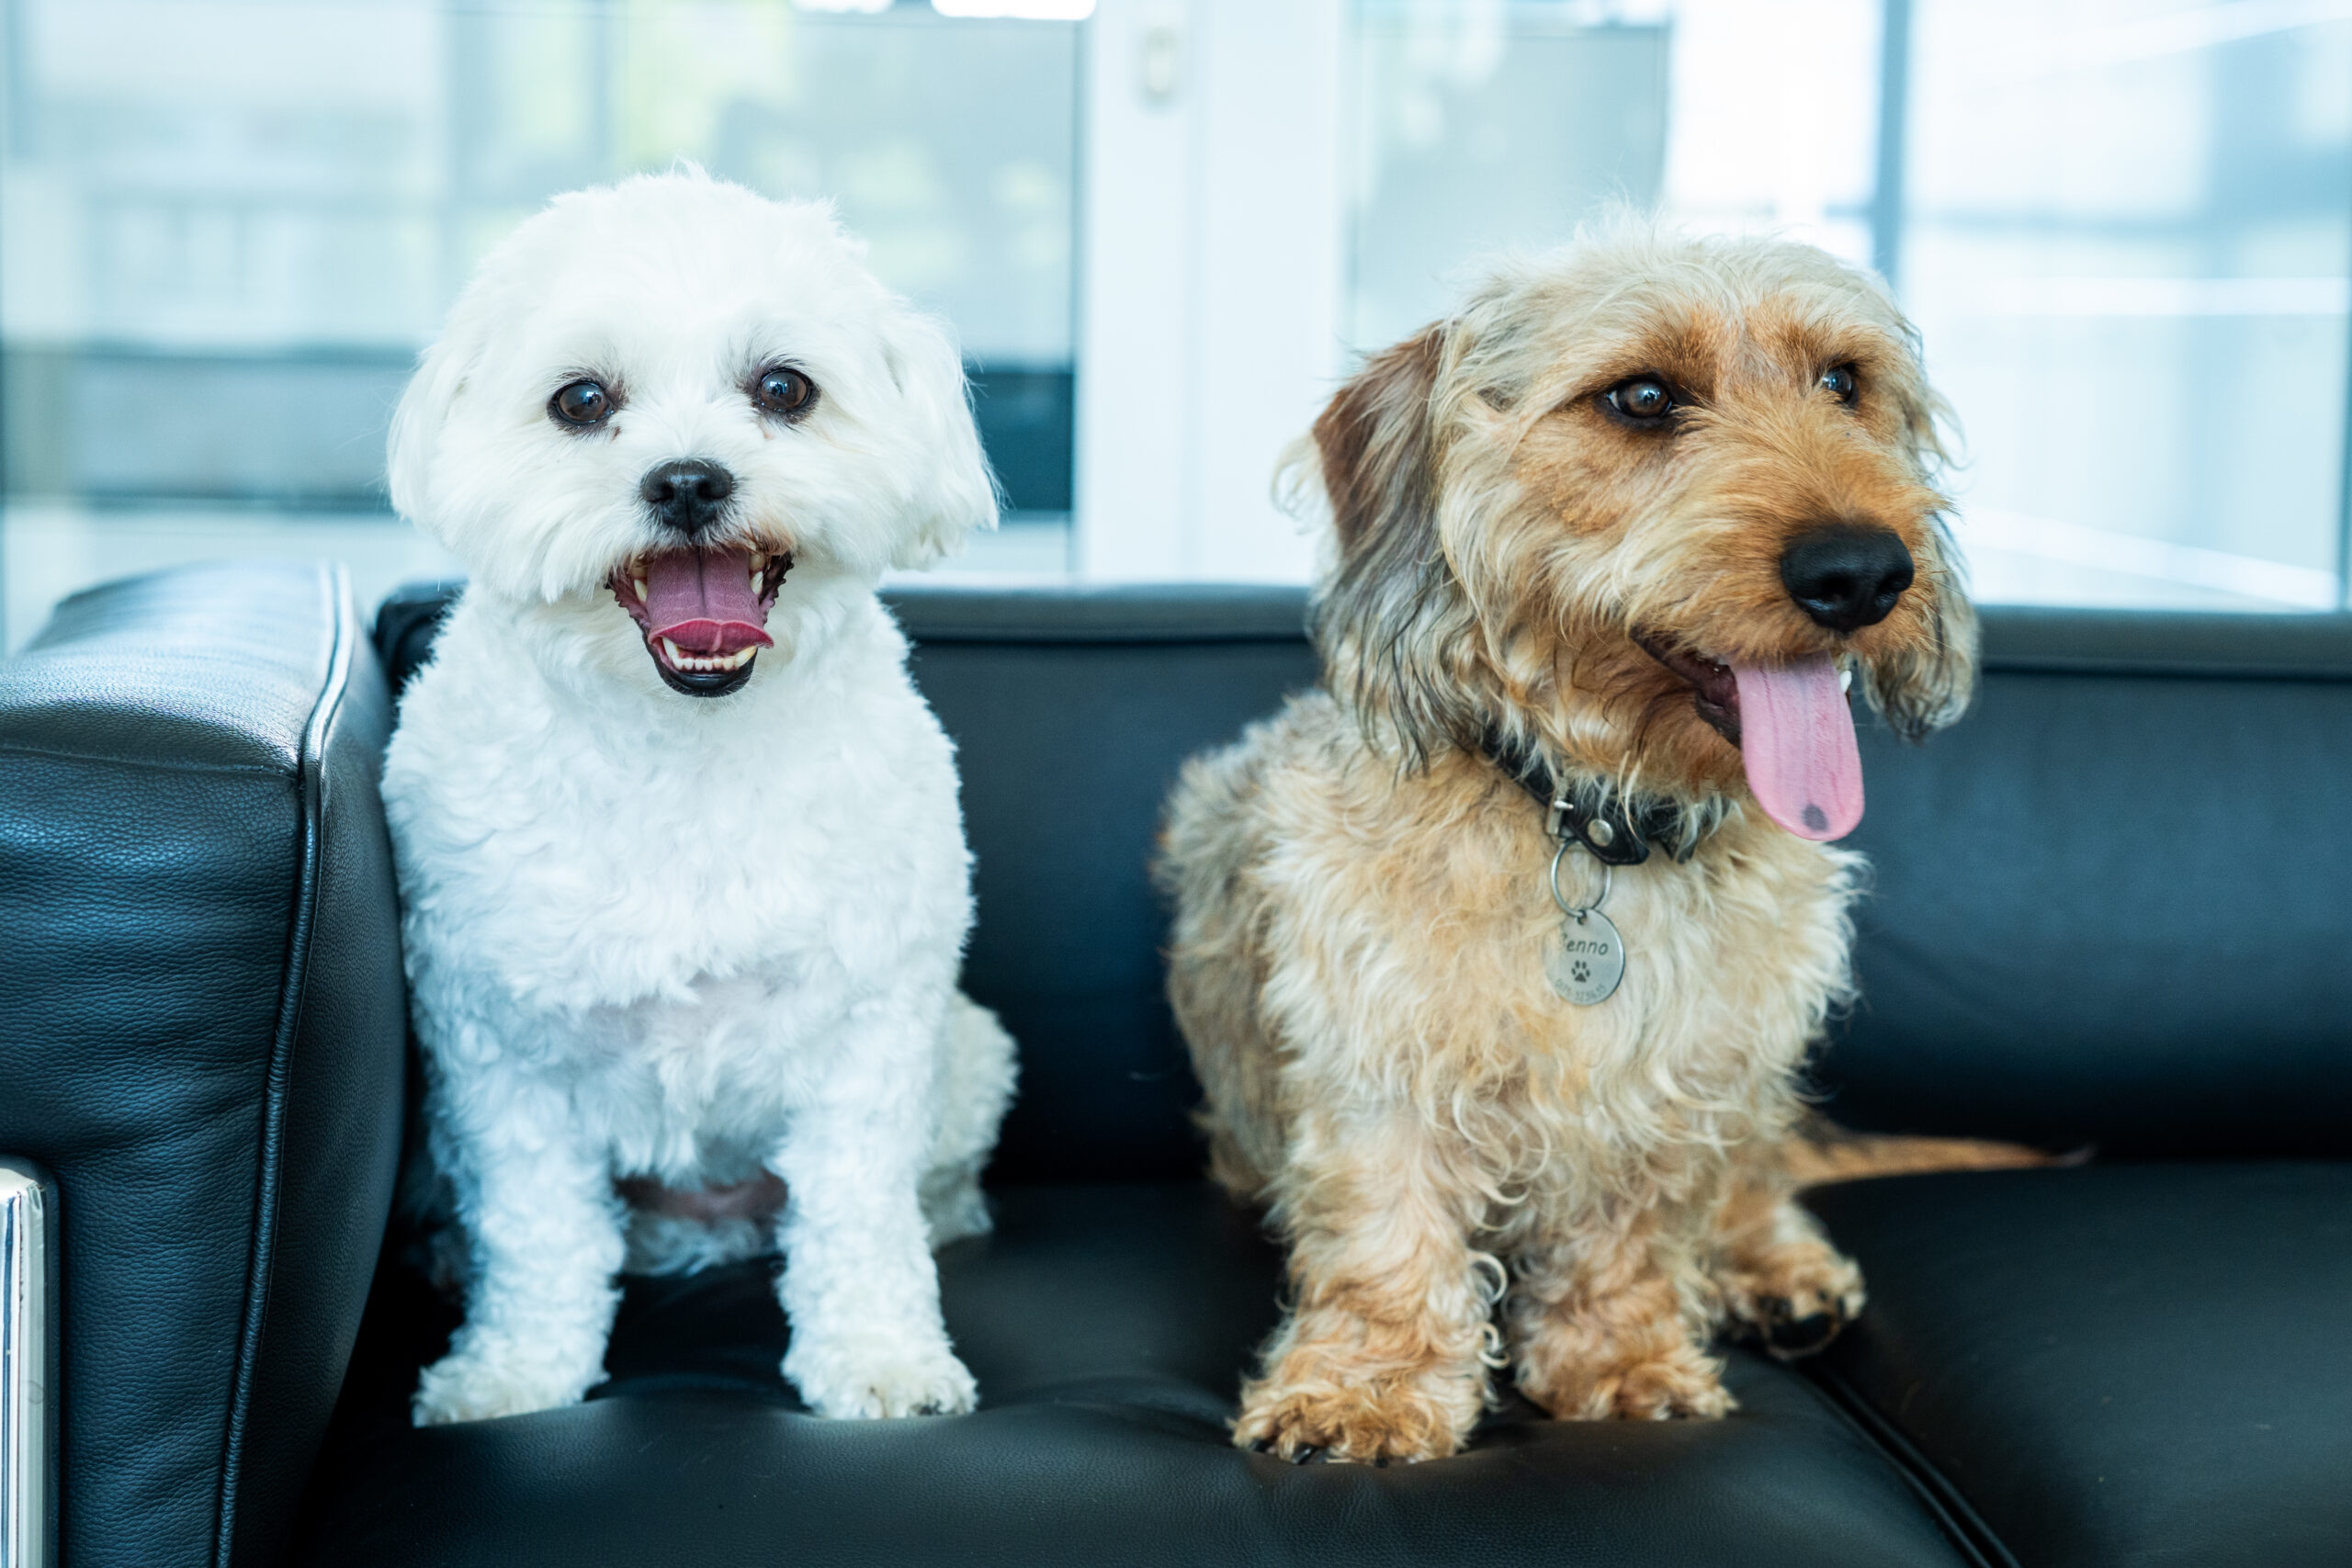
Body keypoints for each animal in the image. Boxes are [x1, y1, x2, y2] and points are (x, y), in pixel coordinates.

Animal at [381, 170, 1015, 1425]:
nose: (685, 480)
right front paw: (514, 1374)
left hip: (967, 1053)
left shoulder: (870, 1031)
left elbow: (858, 1217)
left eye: (783, 388)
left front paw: (878, 1358)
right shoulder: (498, 1054)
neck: (684, 742)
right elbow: (537, 1232)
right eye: (581, 400)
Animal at [1157, 226, 1990, 1463]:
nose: (1864, 573)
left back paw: (1774, 1272)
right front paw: (1366, 1391)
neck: (1591, 823)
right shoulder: (1376, 1058)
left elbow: (1634, 1231)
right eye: (1640, 397)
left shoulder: (1681, 1075)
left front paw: (1620, 1363)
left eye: (1843, 382)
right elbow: (1384, 1235)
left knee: (1755, 1174)